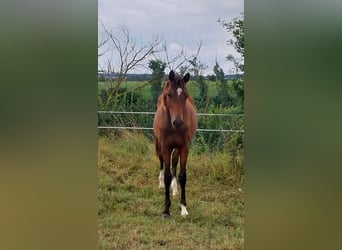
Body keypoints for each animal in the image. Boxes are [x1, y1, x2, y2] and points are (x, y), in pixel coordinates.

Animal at [153, 70, 198, 217]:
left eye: (186, 96)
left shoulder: (184, 147)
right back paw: (161, 183)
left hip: (177, 147)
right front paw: (166, 210)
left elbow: (182, 176)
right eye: (169, 94)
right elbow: (167, 175)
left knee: (174, 162)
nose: (177, 122)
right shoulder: (165, 146)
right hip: (159, 144)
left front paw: (183, 208)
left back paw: (175, 189)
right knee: (161, 161)